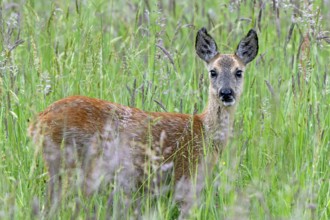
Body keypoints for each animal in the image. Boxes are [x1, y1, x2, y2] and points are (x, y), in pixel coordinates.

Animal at [28, 27, 260, 205]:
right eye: (213, 71)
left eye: (239, 72)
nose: (226, 93)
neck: (205, 133)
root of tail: (37, 121)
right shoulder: (185, 176)